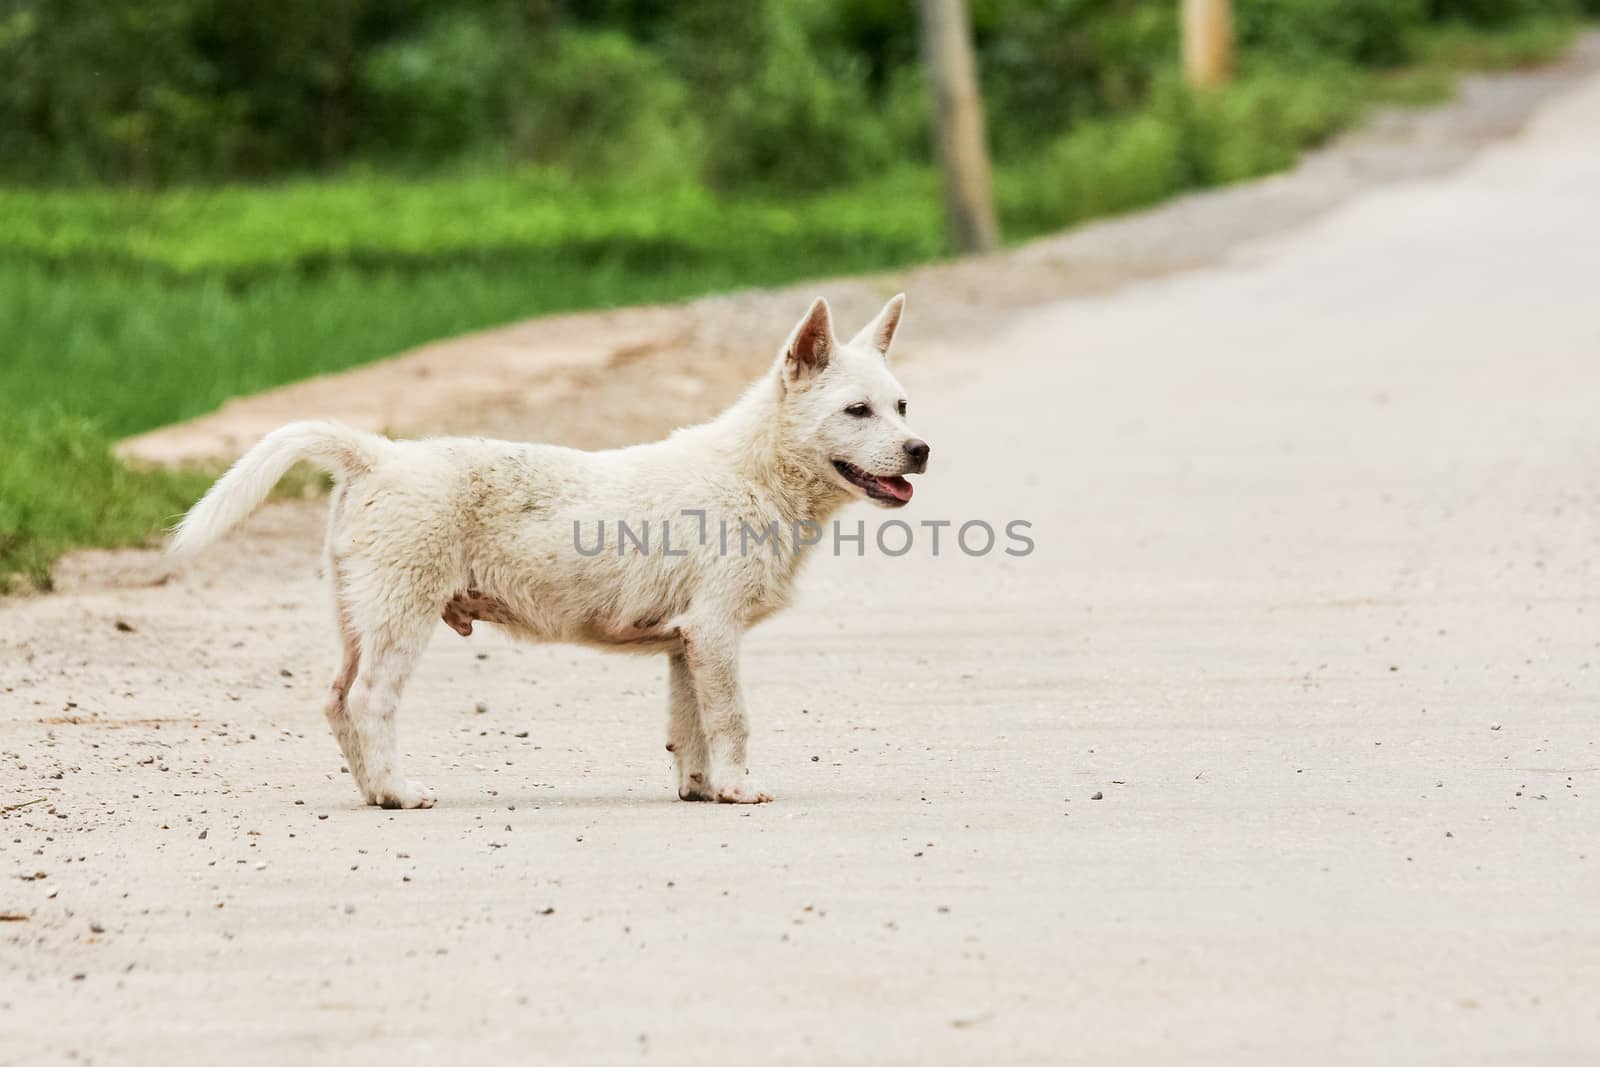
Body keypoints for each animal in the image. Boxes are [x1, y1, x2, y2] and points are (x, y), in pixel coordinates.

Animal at [172, 294, 928, 809]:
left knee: (335, 700)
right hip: (401, 617)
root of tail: (376, 456)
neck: (755, 472)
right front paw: (740, 788)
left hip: (360, 615)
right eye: (857, 411)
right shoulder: (715, 632)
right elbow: (733, 720)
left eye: (901, 406)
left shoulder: (687, 642)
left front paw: (700, 787)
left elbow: (689, 725)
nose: (921, 450)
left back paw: (373, 791)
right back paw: (399, 791)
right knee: (368, 701)